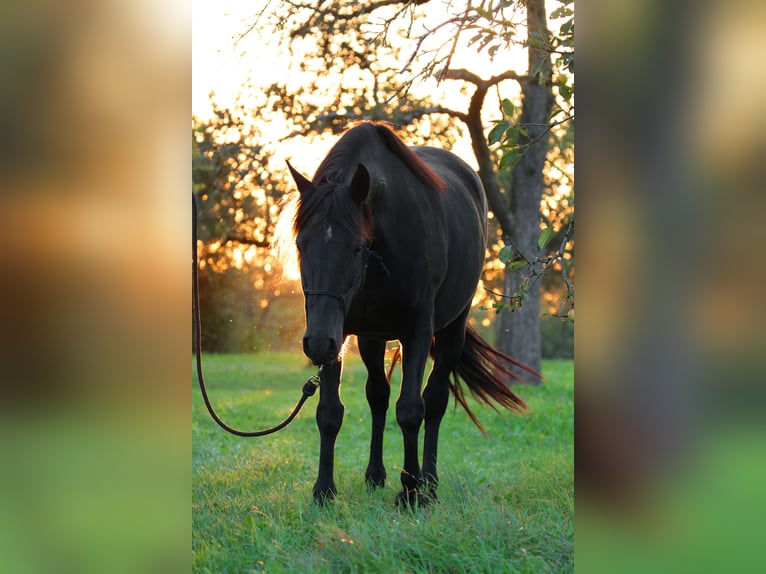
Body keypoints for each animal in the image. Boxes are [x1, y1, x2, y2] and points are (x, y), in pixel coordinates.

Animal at [284, 122, 540, 508]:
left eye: (355, 247)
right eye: (301, 244)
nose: (315, 343)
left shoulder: (416, 330)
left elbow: (410, 409)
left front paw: (410, 491)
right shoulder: (339, 332)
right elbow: (330, 413)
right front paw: (324, 491)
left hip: (451, 330)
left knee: (434, 401)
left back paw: (428, 481)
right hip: (370, 337)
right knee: (378, 395)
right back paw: (376, 476)